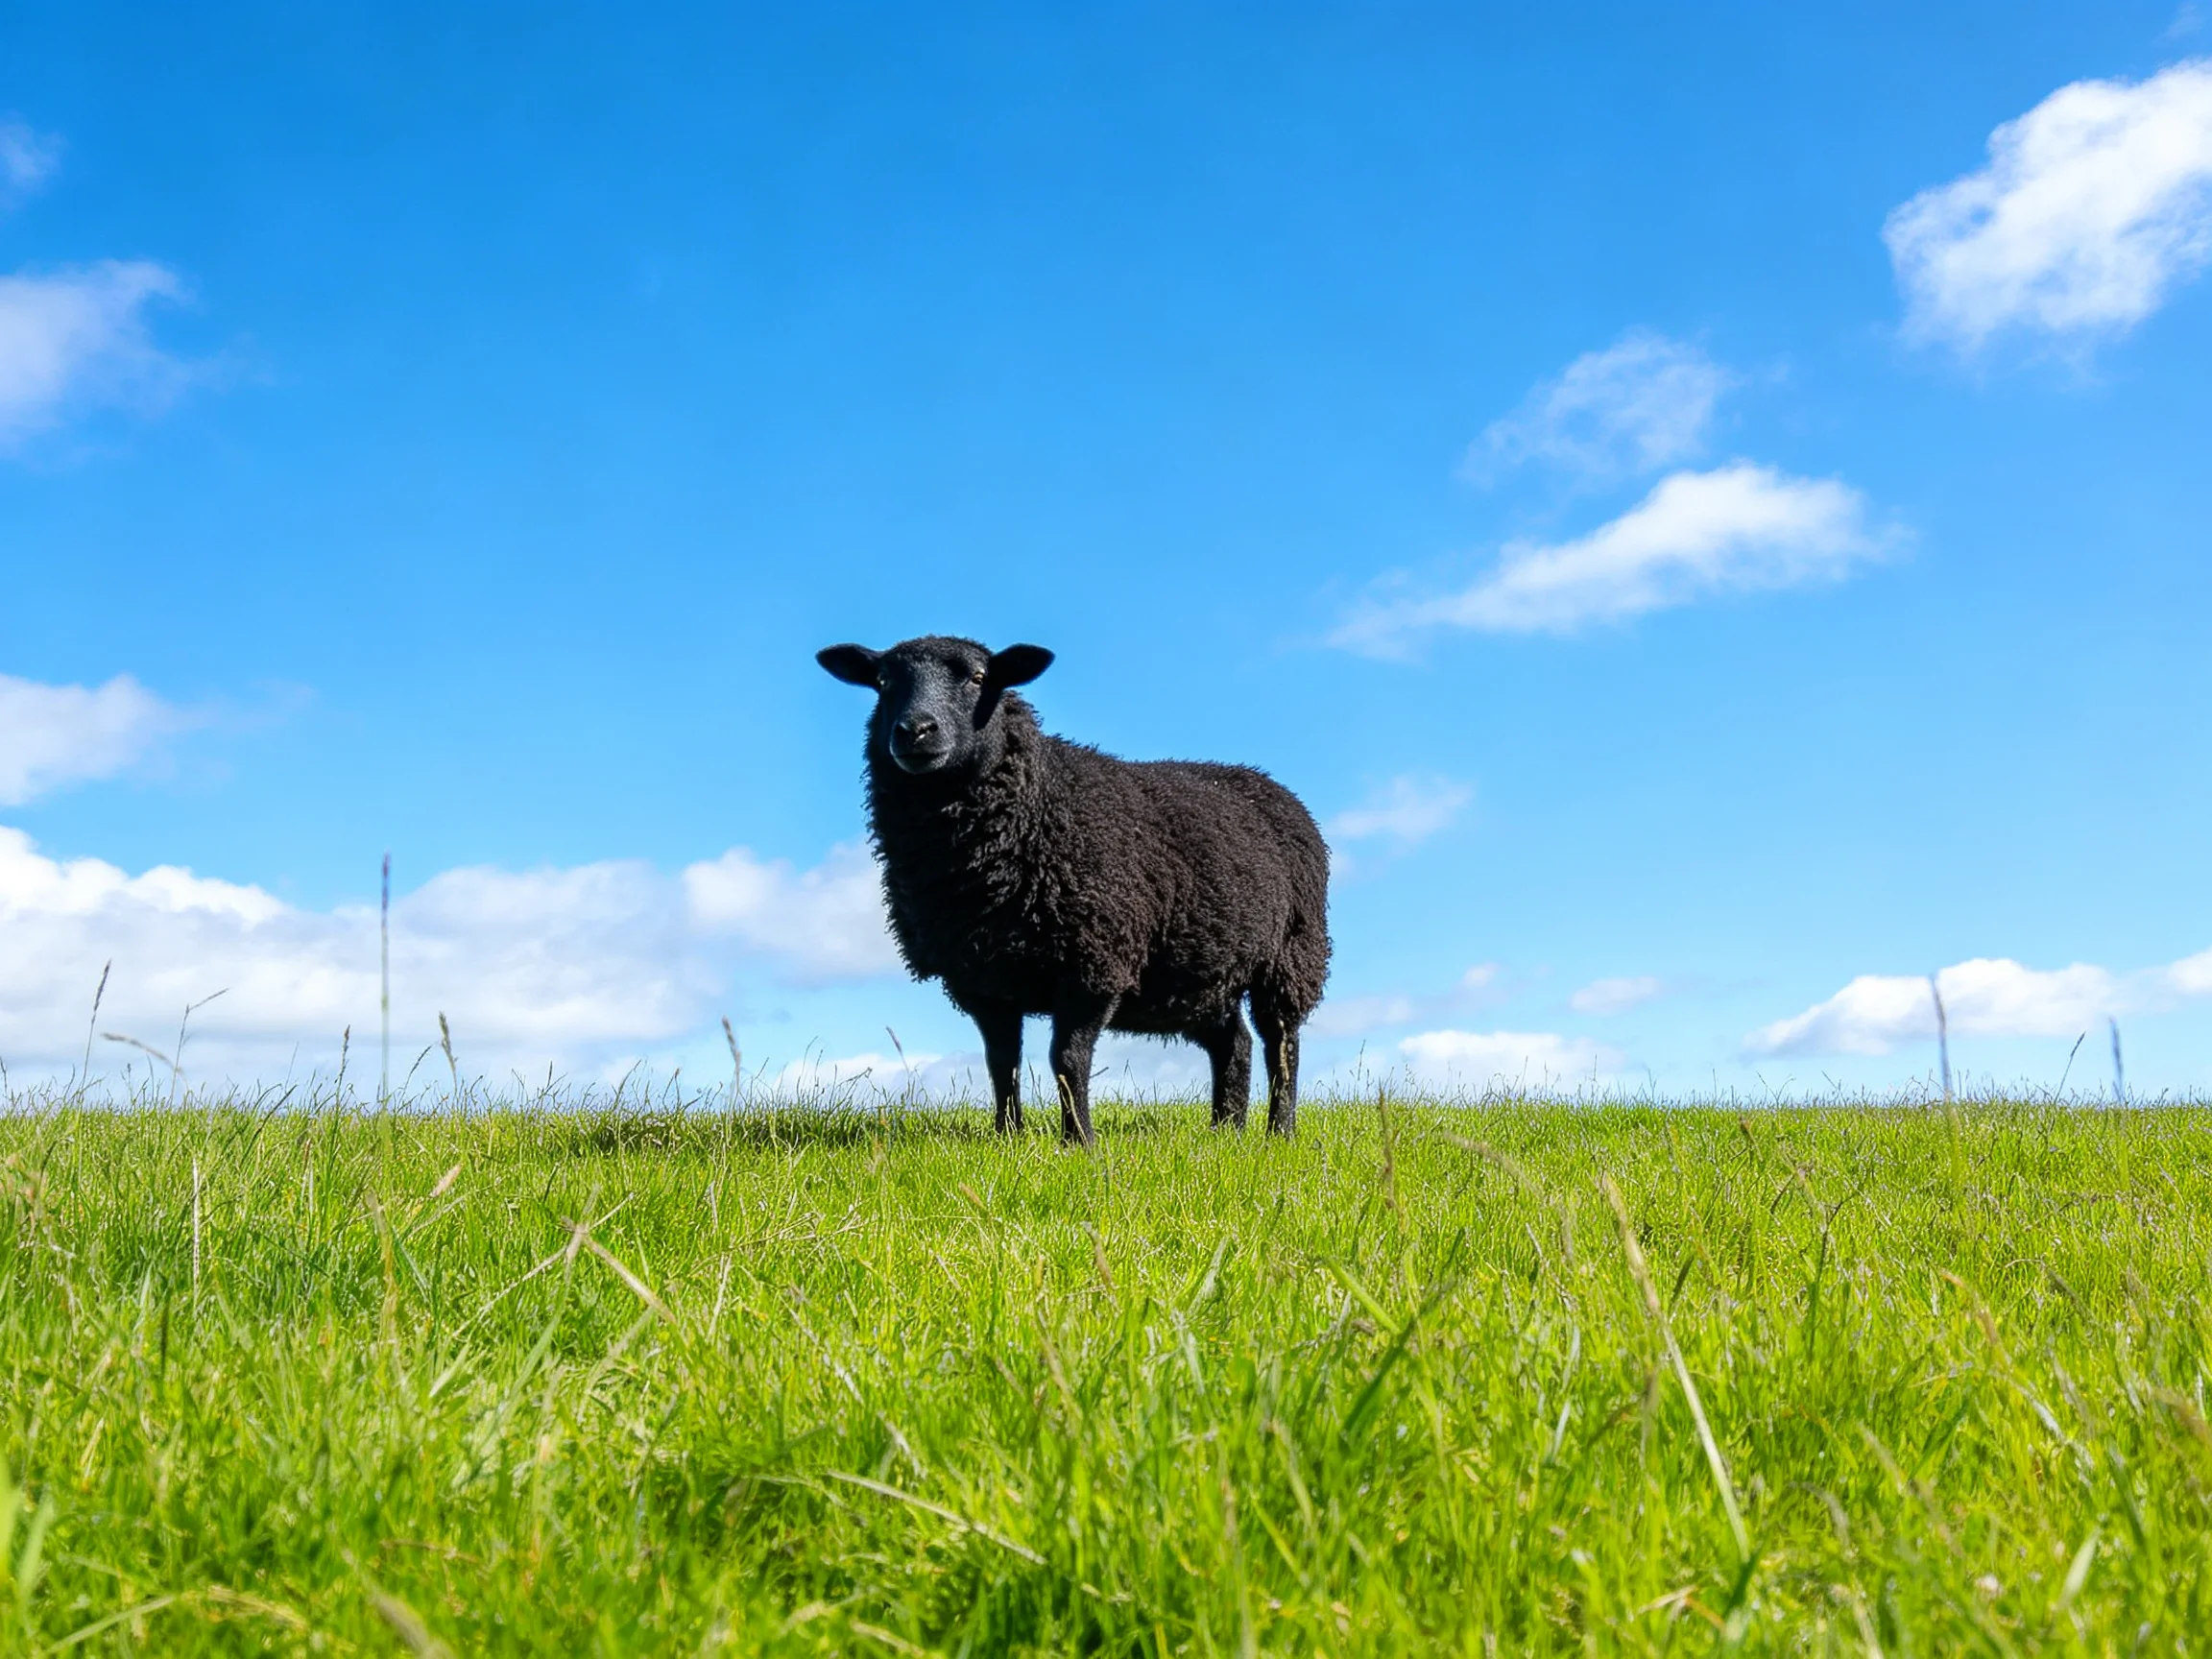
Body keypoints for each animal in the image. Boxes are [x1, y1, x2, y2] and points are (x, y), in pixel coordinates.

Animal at [817, 634, 1330, 1146]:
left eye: (979, 678)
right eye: (883, 682)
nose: (915, 731)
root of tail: (1264, 781)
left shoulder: (1093, 962)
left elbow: (1067, 1058)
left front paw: (1078, 1141)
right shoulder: (979, 978)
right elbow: (1001, 1063)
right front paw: (1007, 1137)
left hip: (1291, 956)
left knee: (1282, 1044)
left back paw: (1279, 1131)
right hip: (1199, 977)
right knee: (1234, 1043)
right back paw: (1225, 1131)